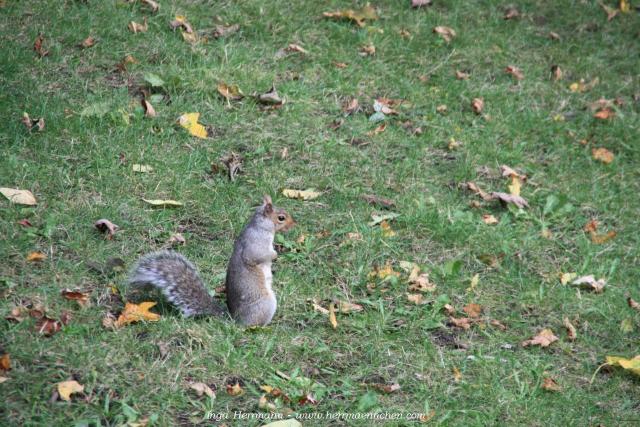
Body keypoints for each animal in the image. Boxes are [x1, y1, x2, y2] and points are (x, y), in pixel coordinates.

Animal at [128, 197, 298, 328]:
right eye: (281, 218)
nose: (294, 224)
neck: (262, 226)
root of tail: (235, 320)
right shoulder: (255, 244)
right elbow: (258, 256)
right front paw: (275, 254)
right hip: (266, 304)